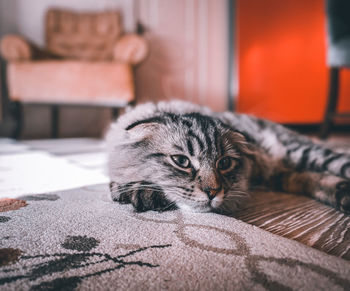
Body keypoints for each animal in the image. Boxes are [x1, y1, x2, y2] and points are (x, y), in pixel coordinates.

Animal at [106, 101, 350, 216]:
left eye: (224, 163)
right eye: (182, 161)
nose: (212, 192)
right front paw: (137, 191)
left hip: (305, 154)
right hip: (285, 176)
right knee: (317, 179)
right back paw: (343, 195)